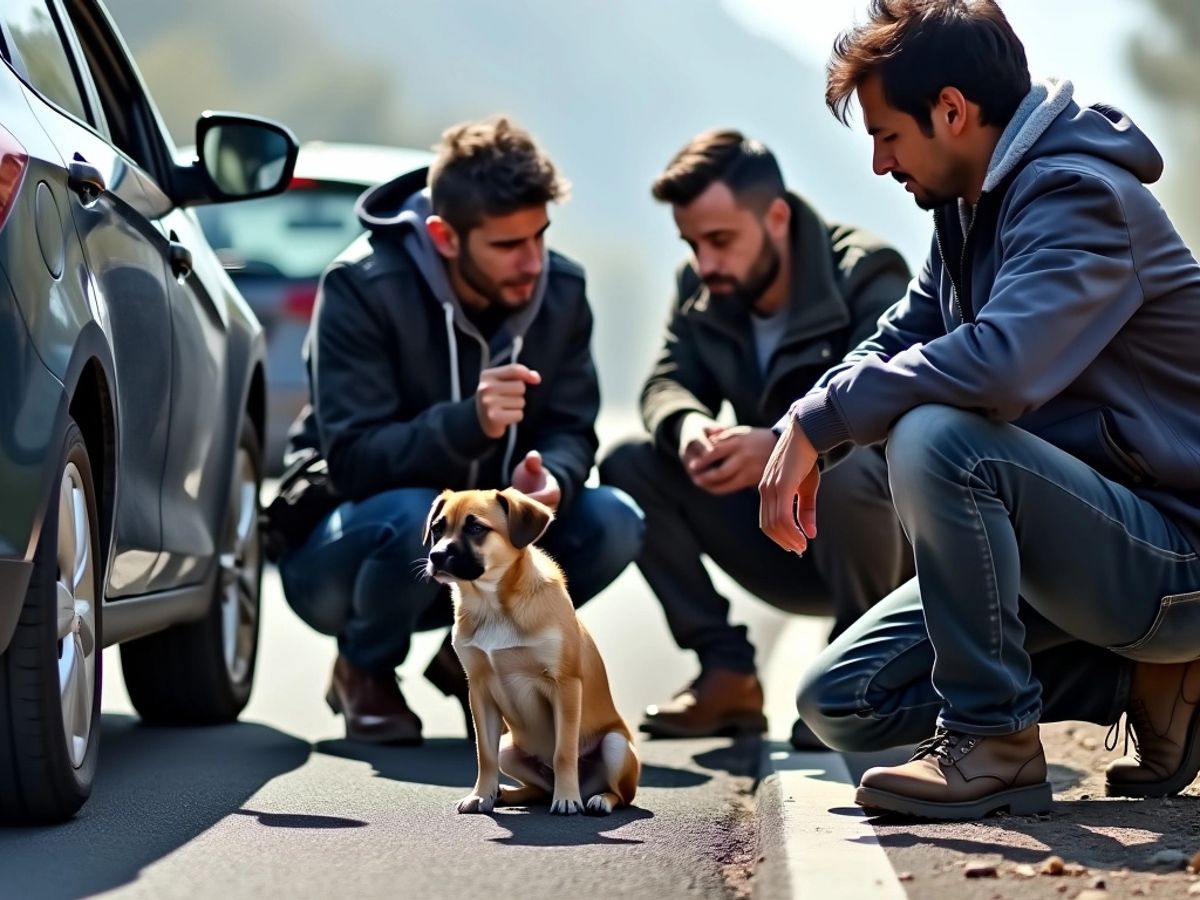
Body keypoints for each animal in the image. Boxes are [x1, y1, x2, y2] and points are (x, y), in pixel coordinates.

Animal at [427, 489, 643, 820]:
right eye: (437, 528)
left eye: (476, 528)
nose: (435, 556)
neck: (492, 605)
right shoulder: (480, 690)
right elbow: (484, 754)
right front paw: (481, 795)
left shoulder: (565, 686)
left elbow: (564, 751)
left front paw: (566, 799)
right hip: (509, 748)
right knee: (538, 789)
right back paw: (506, 794)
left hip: (616, 745)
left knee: (621, 795)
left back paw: (595, 800)